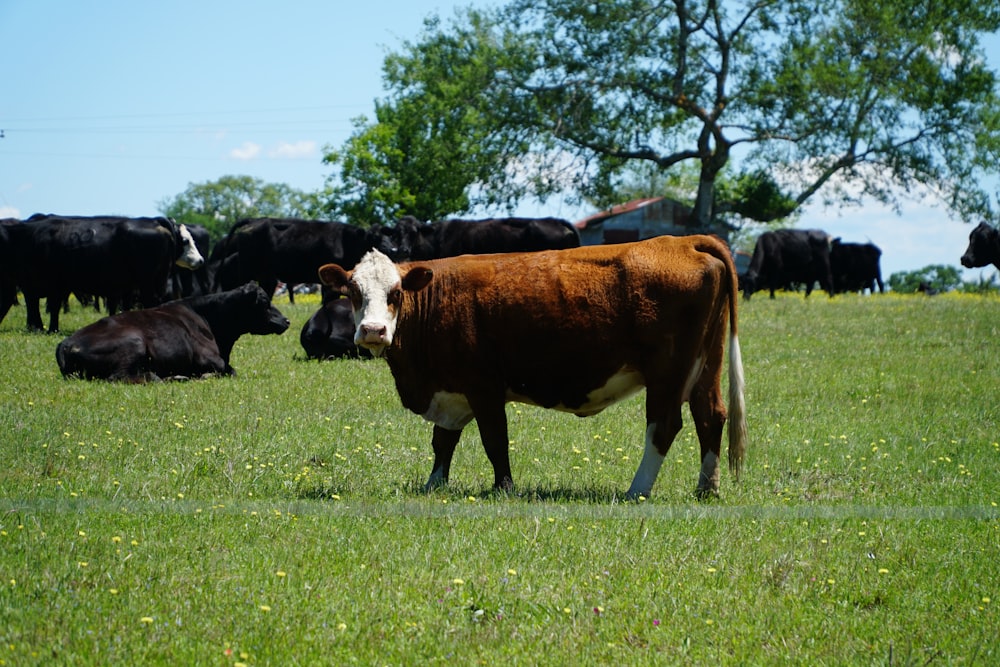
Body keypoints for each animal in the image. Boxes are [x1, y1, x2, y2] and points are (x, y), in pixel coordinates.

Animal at [0, 215, 205, 332]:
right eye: (186, 240)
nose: (201, 260)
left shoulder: (48, 284)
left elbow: (47, 306)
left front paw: (47, 329)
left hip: (148, 283)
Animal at [56, 284, 290, 384]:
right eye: (265, 302)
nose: (287, 320)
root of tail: (66, 342)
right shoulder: (212, 360)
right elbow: (229, 371)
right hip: (134, 342)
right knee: (120, 377)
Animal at [213, 217, 396, 298]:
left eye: (388, 236)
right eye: (374, 238)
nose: (391, 248)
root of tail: (254, 220)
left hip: (266, 275)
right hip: (246, 269)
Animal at [316, 236, 748, 500]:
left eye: (396, 293)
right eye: (353, 291)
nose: (373, 331)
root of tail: (682, 241)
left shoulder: (484, 387)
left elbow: (494, 441)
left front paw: (504, 488)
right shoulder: (452, 390)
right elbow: (443, 441)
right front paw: (434, 485)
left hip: (668, 372)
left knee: (664, 426)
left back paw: (636, 490)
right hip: (705, 366)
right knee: (711, 416)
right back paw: (706, 488)